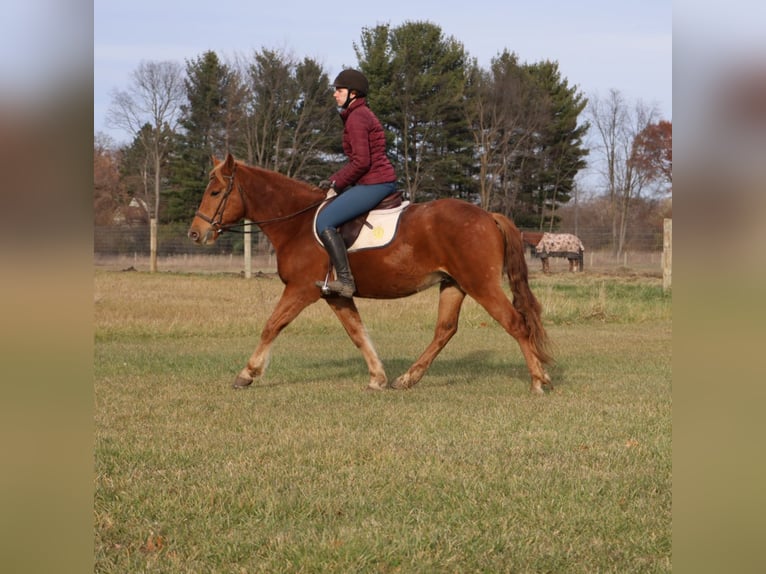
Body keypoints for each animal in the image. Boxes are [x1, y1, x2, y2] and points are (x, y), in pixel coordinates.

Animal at [188, 153, 553, 394]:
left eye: (216, 192)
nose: (195, 234)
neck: (297, 224)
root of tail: (488, 216)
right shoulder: (334, 295)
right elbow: (358, 333)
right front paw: (378, 377)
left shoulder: (301, 289)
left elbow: (272, 326)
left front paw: (247, 374)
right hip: (454, 284)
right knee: (445, 331)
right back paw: (408, 378)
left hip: (480, 284)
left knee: (516, 323)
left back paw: (538, 380)